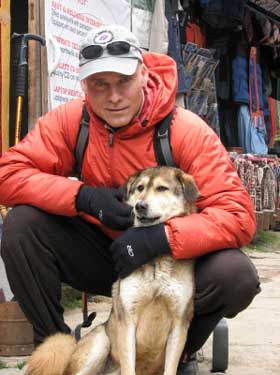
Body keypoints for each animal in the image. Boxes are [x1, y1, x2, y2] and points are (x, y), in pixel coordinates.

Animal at [25, 167, 198, 375]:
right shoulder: (127, 321)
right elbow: (129, 367)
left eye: (162, 188)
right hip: (101, 343)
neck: (154, 261)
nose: (139, 206)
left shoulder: (179, 325)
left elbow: (170, 368)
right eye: (140, 188)